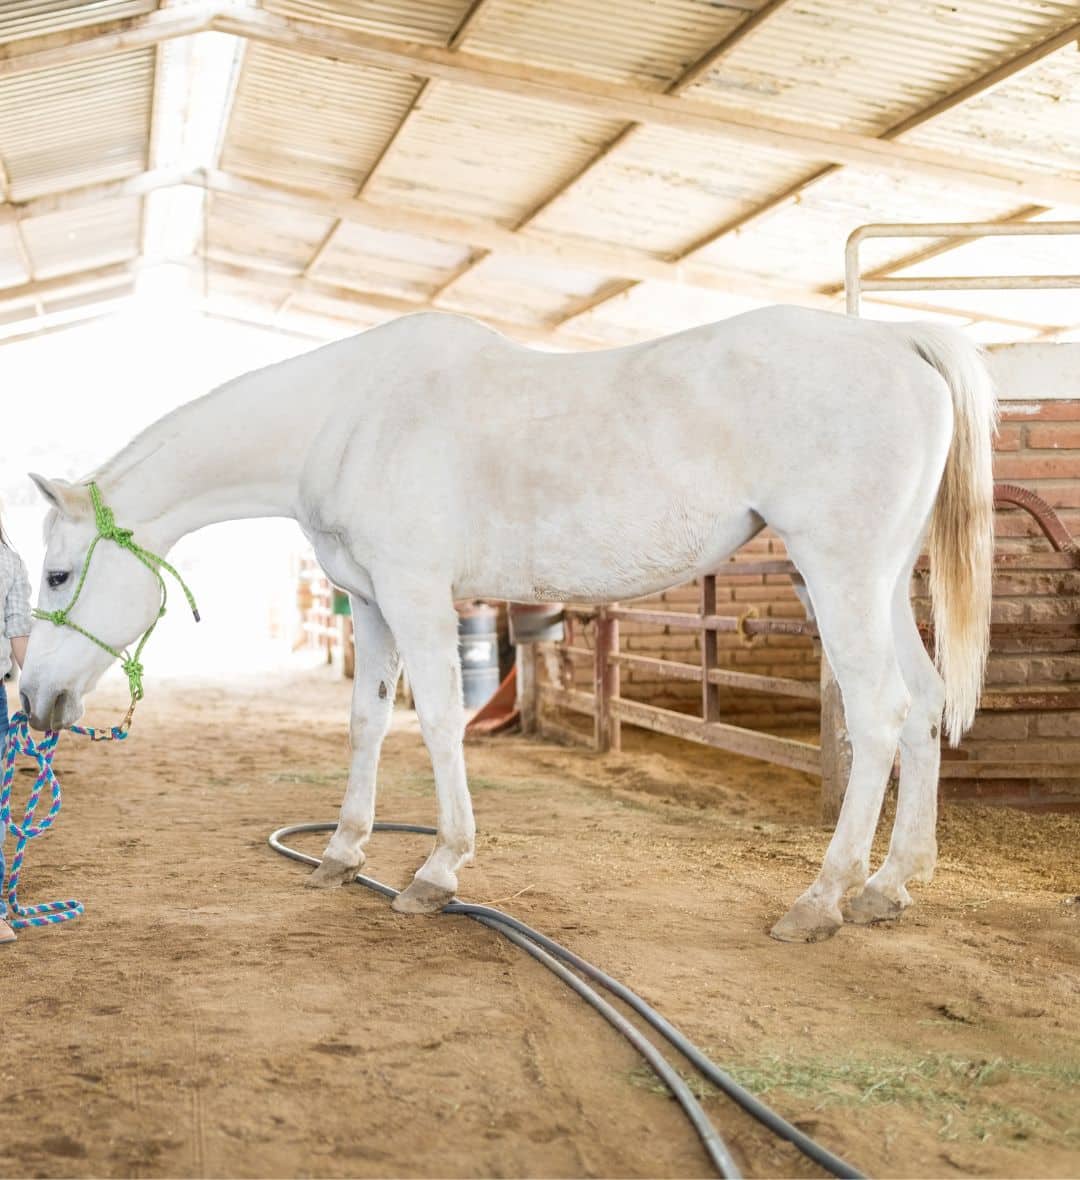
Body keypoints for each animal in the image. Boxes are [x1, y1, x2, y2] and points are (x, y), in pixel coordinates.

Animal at [19, 305, 996, 942]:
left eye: (60, 573)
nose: (34, 700)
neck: (348, 416)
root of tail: (895, 339)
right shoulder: (371, 602)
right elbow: (367, 720)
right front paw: (342, 852)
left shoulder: (417, 595)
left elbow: (439, 723)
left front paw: (435, 872)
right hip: (877, 581)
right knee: (922, 705)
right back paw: (889, 886)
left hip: (839, 574)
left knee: (879, 714)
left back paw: (822, 899)